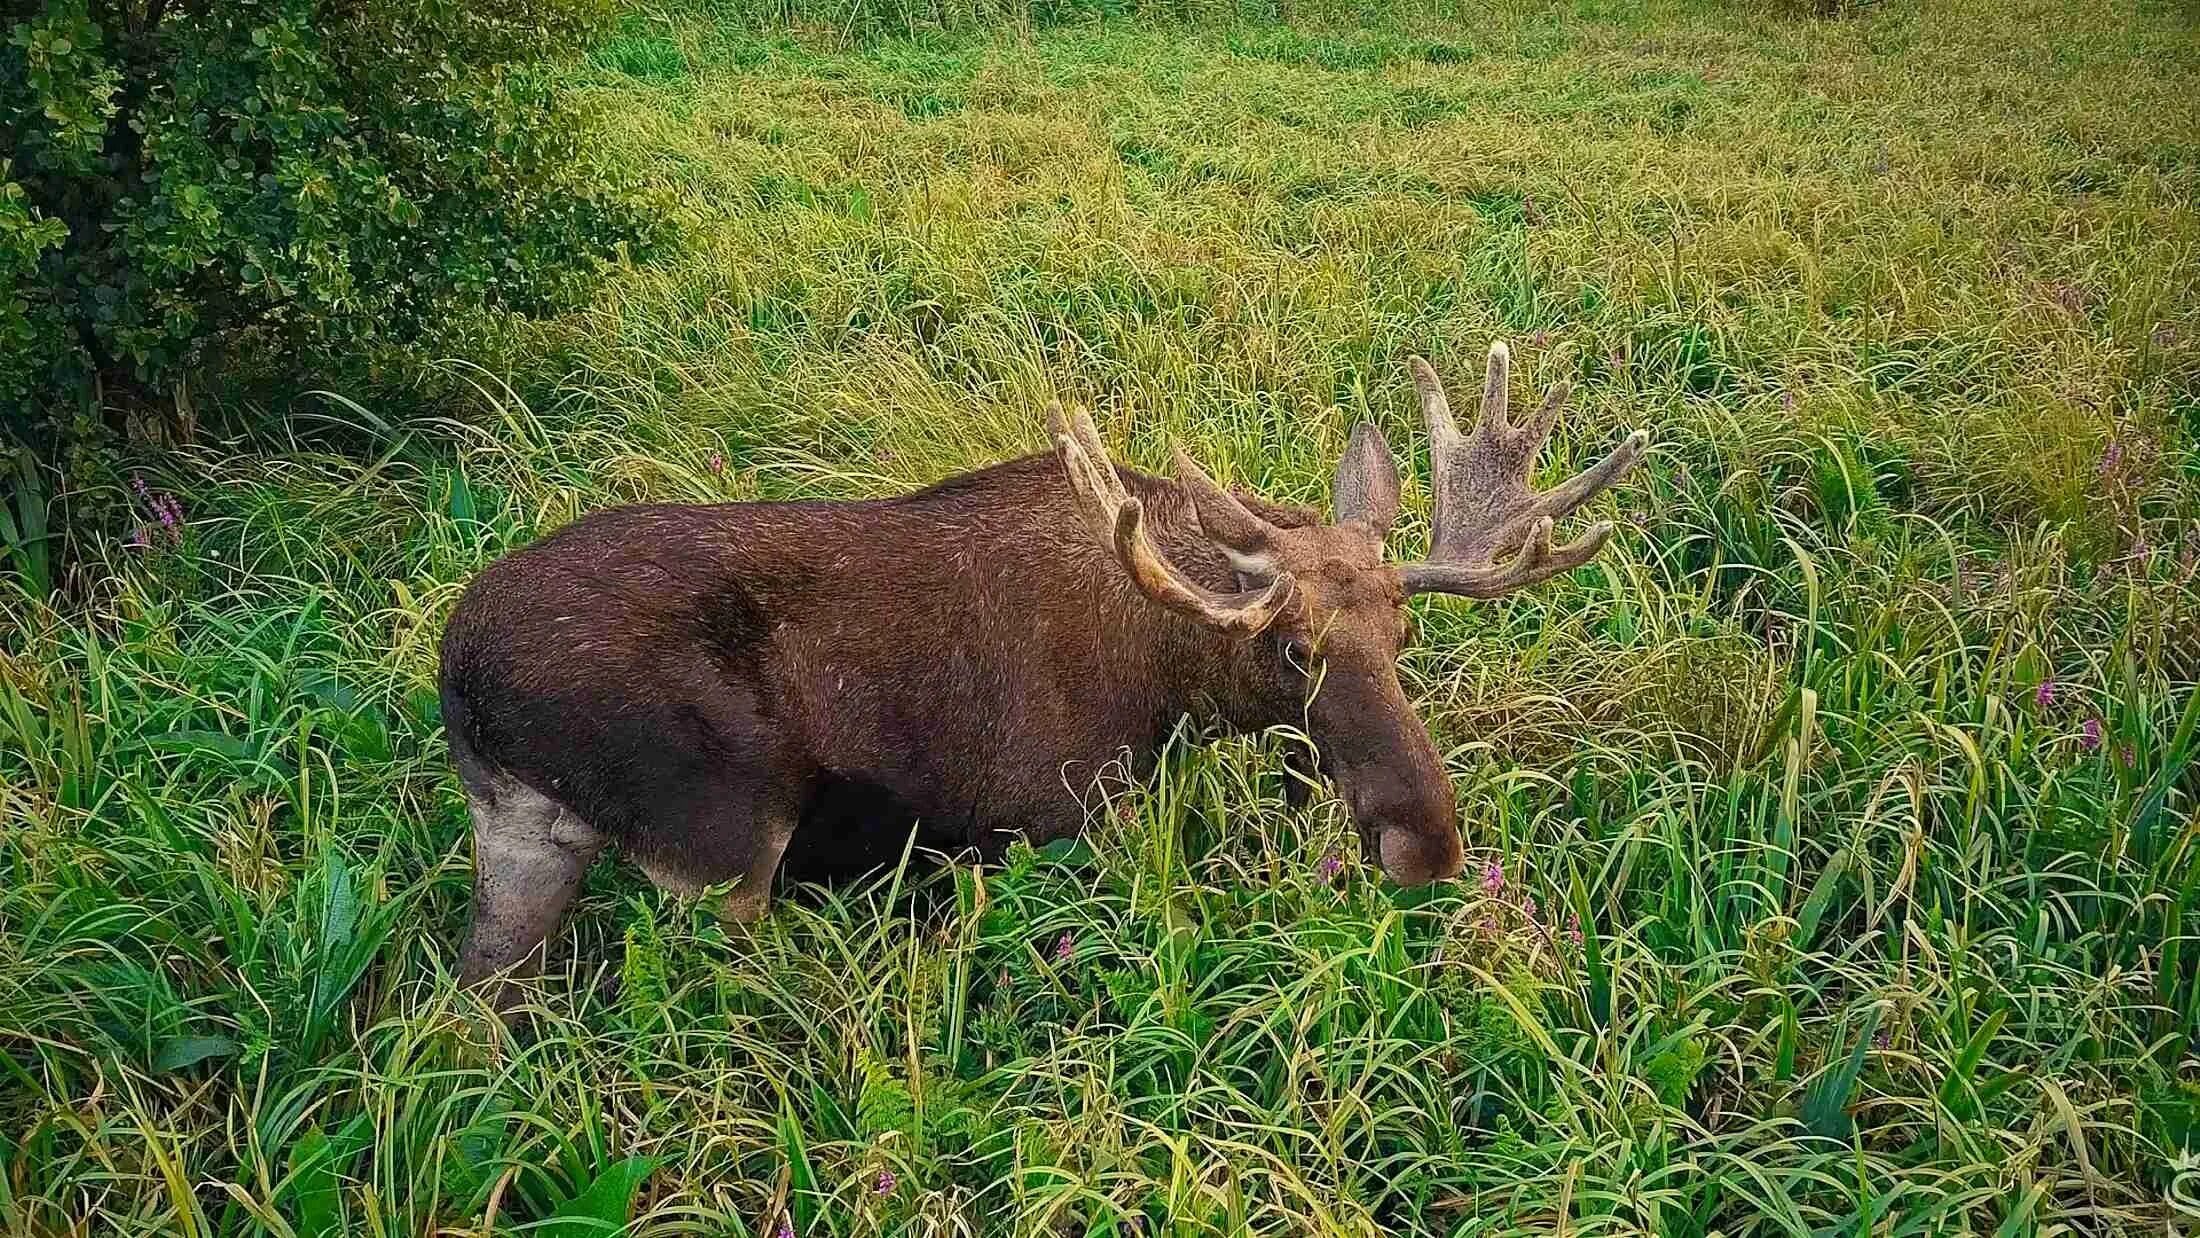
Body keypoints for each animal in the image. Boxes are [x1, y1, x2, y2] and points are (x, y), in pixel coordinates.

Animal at [442, 343, 1654, 1002]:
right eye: (1292, 649)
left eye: (1404, 636)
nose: (1428, 845)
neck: (1170, 685)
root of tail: (460, 671)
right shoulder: (1055, 816)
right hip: (724, 833)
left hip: (523, 836)